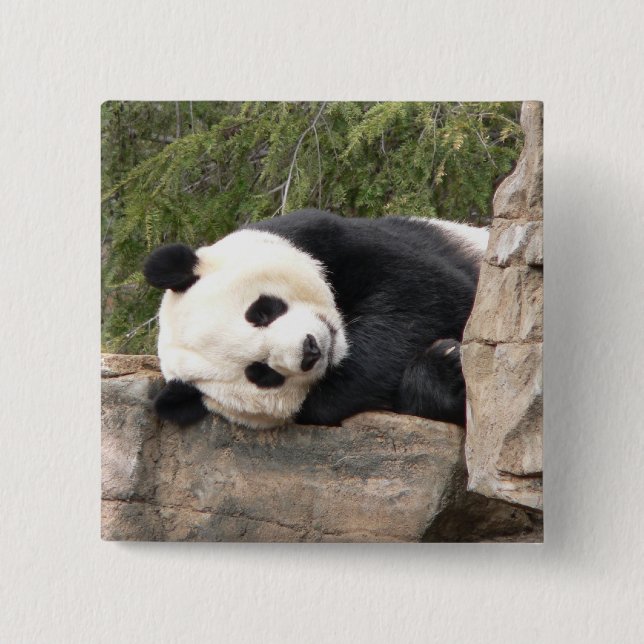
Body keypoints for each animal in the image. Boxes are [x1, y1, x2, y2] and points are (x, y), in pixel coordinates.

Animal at [143, 209, 488, 429]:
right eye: (261, 373)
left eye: (262, 311)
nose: (310, 350)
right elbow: (333, 399)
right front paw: (444, 367)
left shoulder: (322, 237)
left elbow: (424, 294)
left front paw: (446, 360)